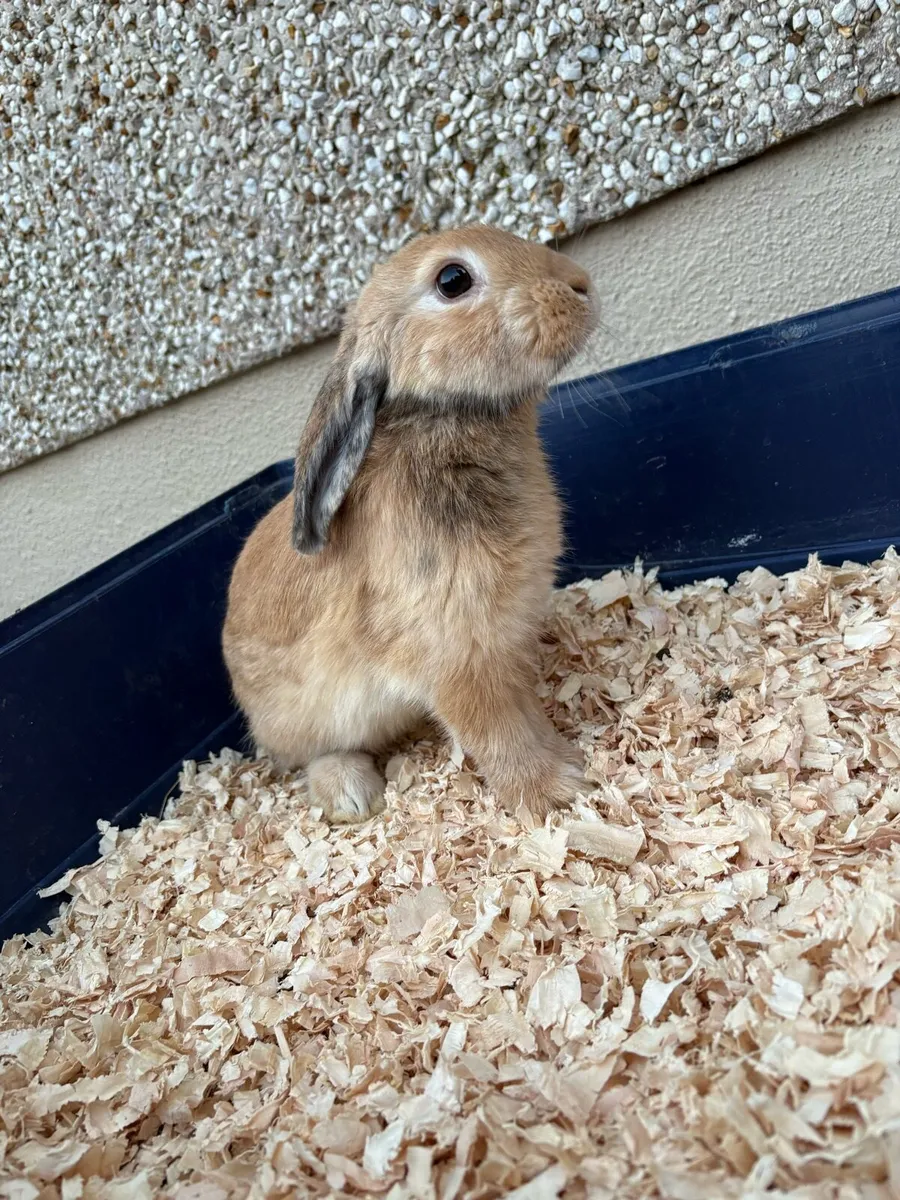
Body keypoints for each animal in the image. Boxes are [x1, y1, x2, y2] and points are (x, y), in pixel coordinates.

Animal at [222, 224, 597, 823]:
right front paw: (555, 790)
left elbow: (522, 711)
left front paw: (565, 757)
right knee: (313, 755)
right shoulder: (455, 657)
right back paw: (351, 793)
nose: (581, 283)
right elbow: (496, 731)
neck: (445, 421)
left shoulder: (504, 641)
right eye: (453, 280)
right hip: (305, 722)